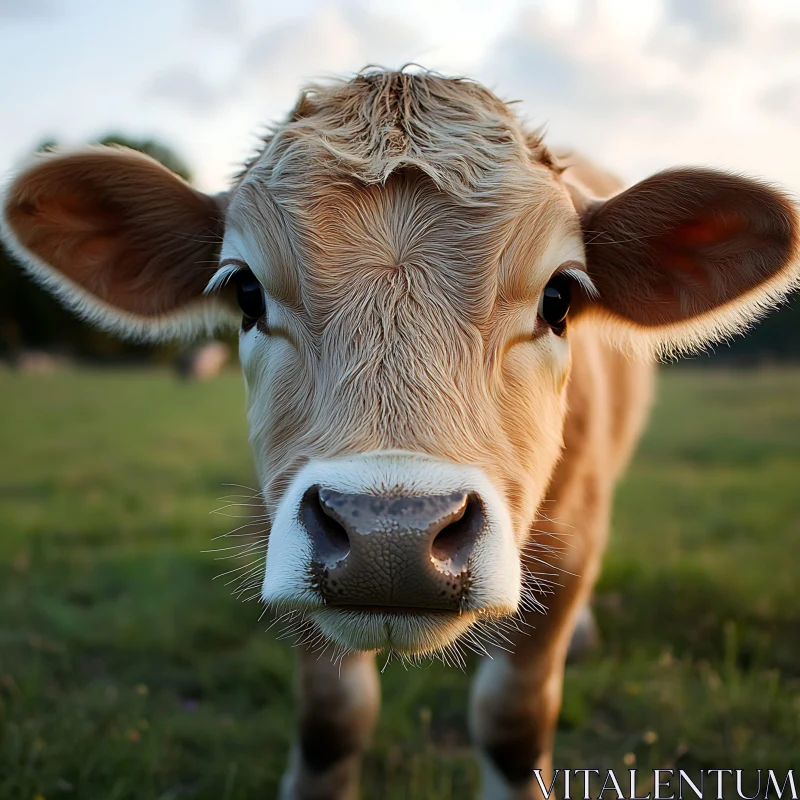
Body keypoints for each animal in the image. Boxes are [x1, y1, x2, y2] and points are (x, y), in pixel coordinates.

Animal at [3, 72, 796, 796]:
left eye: (560, 297)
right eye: (246, 291)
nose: (390, 535)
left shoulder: (574, 540)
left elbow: (512, 725)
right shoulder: (280, 530)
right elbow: (331, 719)